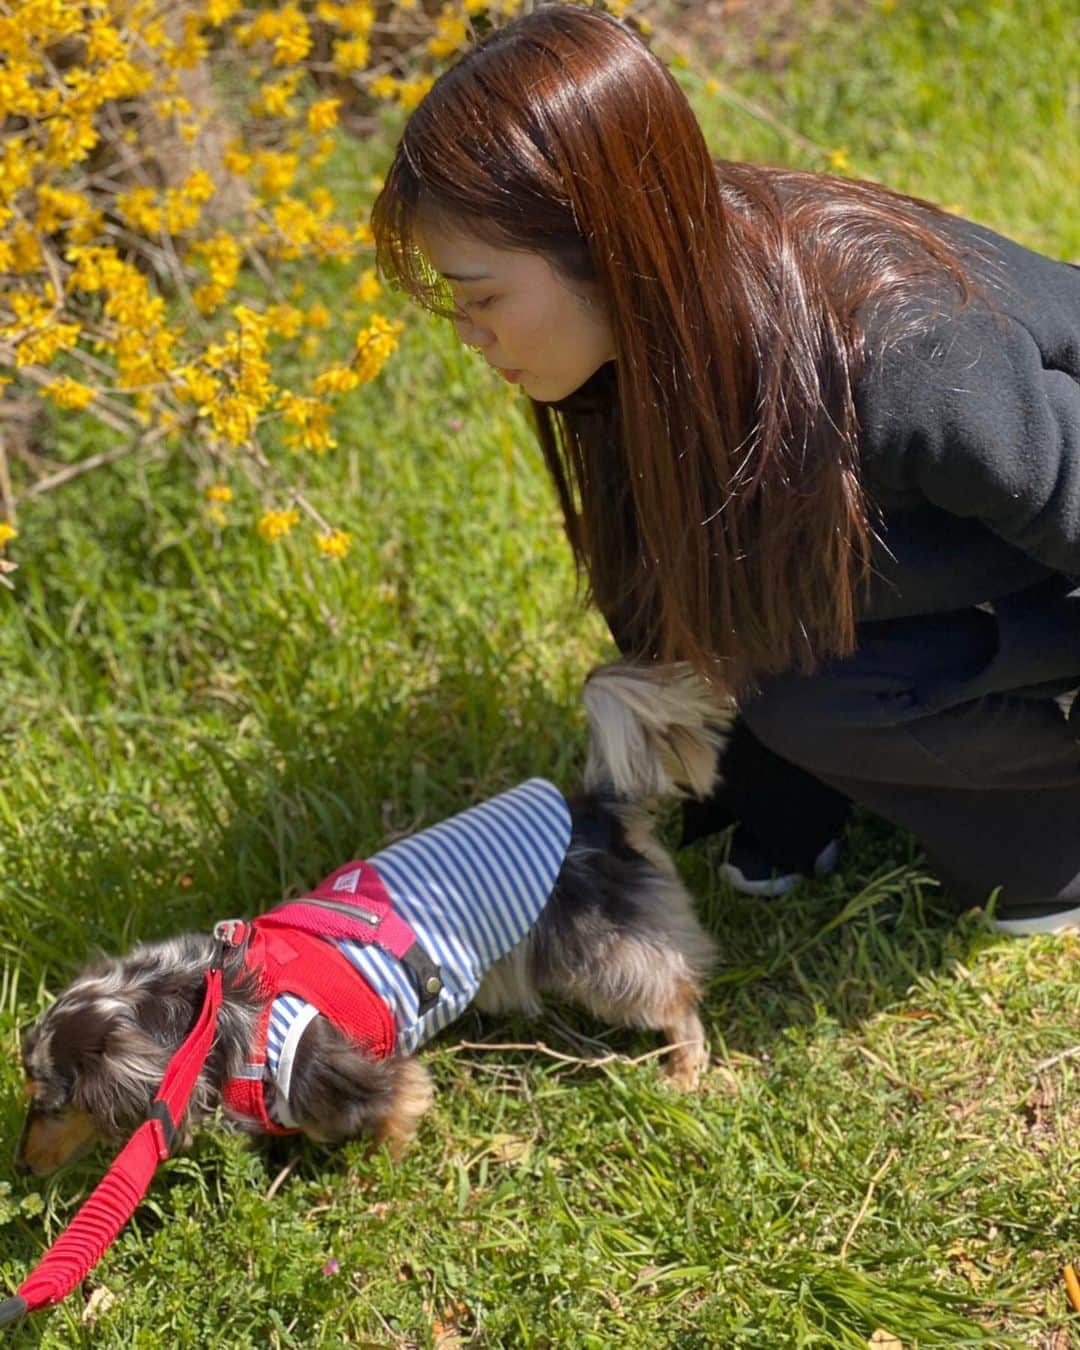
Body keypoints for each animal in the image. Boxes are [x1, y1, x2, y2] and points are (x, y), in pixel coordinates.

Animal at [14, 661, 723, 1171]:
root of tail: (591, 808)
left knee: (671, 991)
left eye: (53, 1105)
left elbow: (397, 1112)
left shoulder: (356, 1070)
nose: (20, 1168)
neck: (204, 1013)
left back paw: (684, 1067)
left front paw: (373, 1174)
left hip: (595, 952)